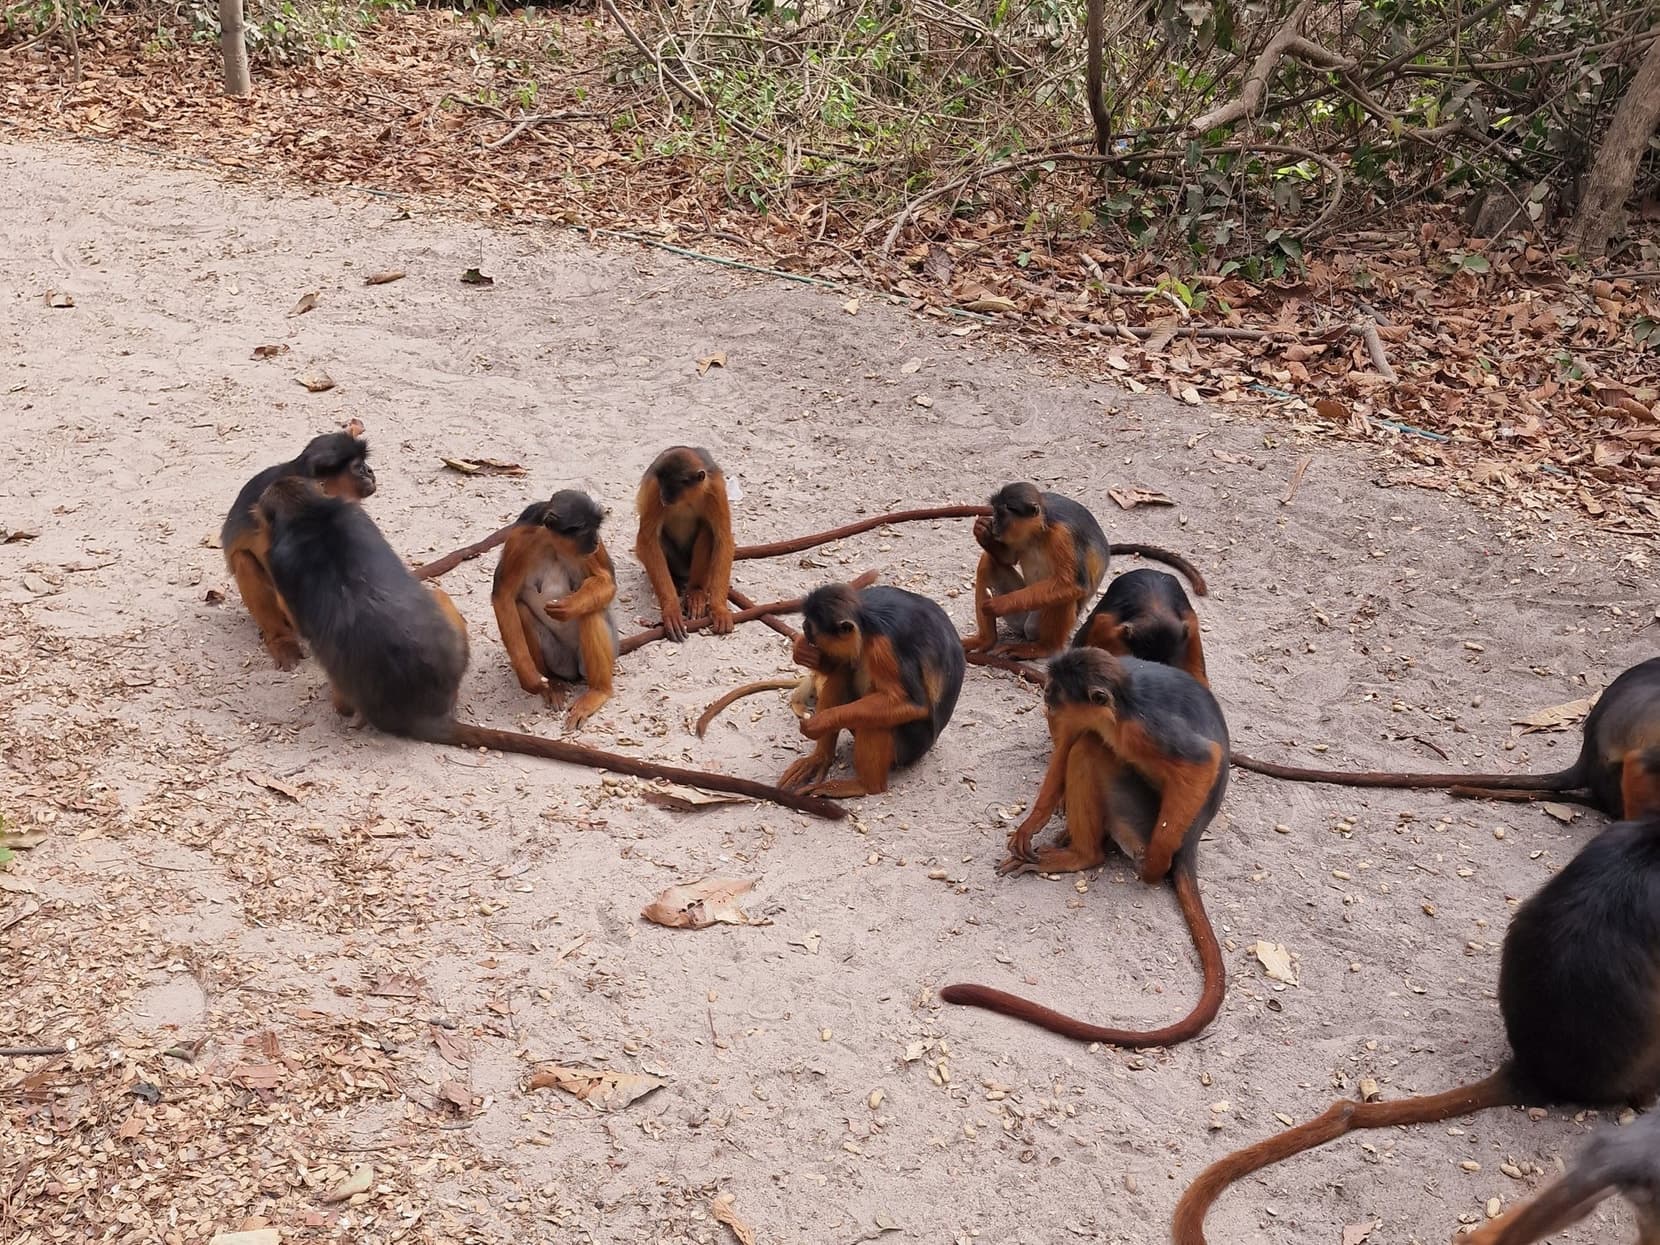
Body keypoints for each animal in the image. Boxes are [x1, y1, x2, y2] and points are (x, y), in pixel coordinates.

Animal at [490, 491, 619, 731]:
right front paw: (529, 677)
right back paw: (552, 683)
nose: (596, 541)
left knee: (591, 611)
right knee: (521, 609)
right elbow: (503, 596)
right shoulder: (521, 538)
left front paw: (571, 606)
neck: (553, 543)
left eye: (596, 528)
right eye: (584, 530)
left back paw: (599, 690)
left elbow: (607, 582)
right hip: (559, 660)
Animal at [634, 447, 735, 642]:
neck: (686, 499)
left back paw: (695, 592)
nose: (664, 495)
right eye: (663, 485)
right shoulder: (654, 488)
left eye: (671, 487)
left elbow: (723, 539)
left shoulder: (715, 488)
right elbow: (647, 539)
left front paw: (719, 609)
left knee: (707, 529)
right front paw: (671, 609)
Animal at [777, 581, 966, 798]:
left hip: (910, 747)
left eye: (809, 629)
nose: (803, 630)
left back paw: (865, 786)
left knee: (874, 720)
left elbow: (912, 703)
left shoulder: (883, 647)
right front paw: (803, 652)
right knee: (844, 671)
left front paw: (821, 721)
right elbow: (839, 664)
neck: (866, 618)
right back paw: (820, 759)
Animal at [939, 648, 1228, 1046]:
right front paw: (1033, 823)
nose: (1046, 694)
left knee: (1092, 749)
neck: (1118, 709)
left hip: (1139, 819)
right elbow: (1068, 743)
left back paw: (1086, 855)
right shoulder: (1084, 716)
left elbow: (1202, 760)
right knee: (1087, 743)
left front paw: (1155, 866)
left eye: (1057, 689)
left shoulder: (1145, 728)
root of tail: (1195, 835)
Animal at [961, 483, 1113, 660]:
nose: (994, 523)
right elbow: (1008, 559)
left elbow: (1074, 583)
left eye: (1001, 514)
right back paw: (986, 640)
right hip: (1021, 610)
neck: (1038, 531)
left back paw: (1045, 648)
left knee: (1066, 594)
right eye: (994, 512)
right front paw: (983, 532)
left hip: (1035, 616)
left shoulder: (1062, 535)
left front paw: (998, 604)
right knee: (988, 561)